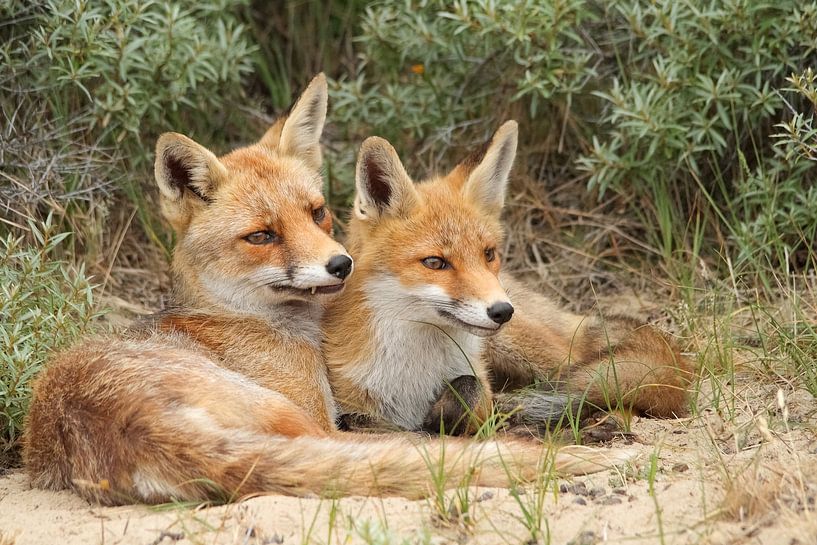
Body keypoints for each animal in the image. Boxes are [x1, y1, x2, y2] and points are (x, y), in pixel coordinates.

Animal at [23, 76, 630, 506]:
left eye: (317, 213)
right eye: (262, 237)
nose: (341, 265)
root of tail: (128, 423)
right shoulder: (324, 415)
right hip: (295, 421)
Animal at [323, 121, 693, 436]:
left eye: (488, 254)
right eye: (435, 262)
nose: (502, 311)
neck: (413, 376)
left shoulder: (478, 380)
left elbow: (471, 389)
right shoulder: (348, 405)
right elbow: (363, 421)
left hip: (528, 351)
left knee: (608, 385)